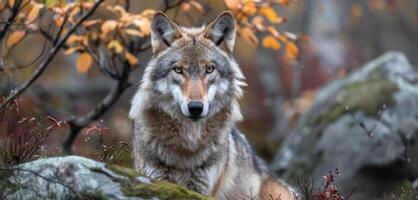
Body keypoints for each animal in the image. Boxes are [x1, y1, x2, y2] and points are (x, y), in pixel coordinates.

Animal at [129, 11, 296, 200]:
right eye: (178, 70)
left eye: (209, 69)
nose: (195, 107)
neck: (187, 146)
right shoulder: (156, 179)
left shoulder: (202, 189)